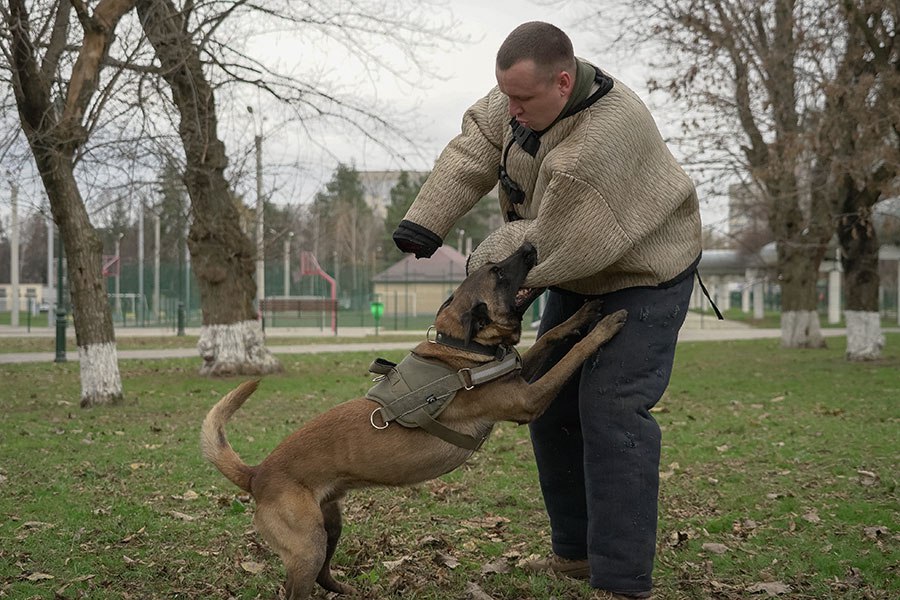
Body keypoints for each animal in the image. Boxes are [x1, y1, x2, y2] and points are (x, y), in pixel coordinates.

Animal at [202, 241, 624, 596]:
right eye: (499, 273)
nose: (529, 244)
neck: (463, 352)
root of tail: (257, 474)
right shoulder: (528, 399)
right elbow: (573, 355)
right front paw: (603, 328)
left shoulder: (520, 376)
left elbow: (550, 336)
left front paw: (583, 314)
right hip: (307, 545)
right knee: (296, 587)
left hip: (329, 526)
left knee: (324, 574)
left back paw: (347, 590)